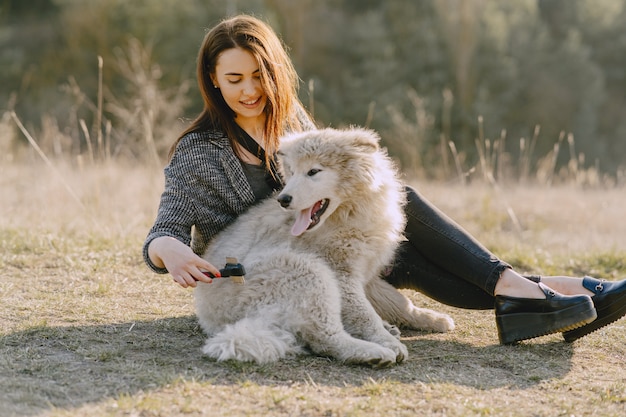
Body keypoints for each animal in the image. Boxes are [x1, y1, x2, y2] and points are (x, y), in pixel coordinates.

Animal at [193, 127, 450, 368]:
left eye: (313, 172)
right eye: (292, 172)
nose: (283, 200)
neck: (347, 215)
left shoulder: (366, 271)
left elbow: (396, 300)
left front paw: (431, 318)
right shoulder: (341, 273)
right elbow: (365, 314)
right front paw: (386, 341)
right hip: (304, 271)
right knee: (325, 337)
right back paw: (374, 352)